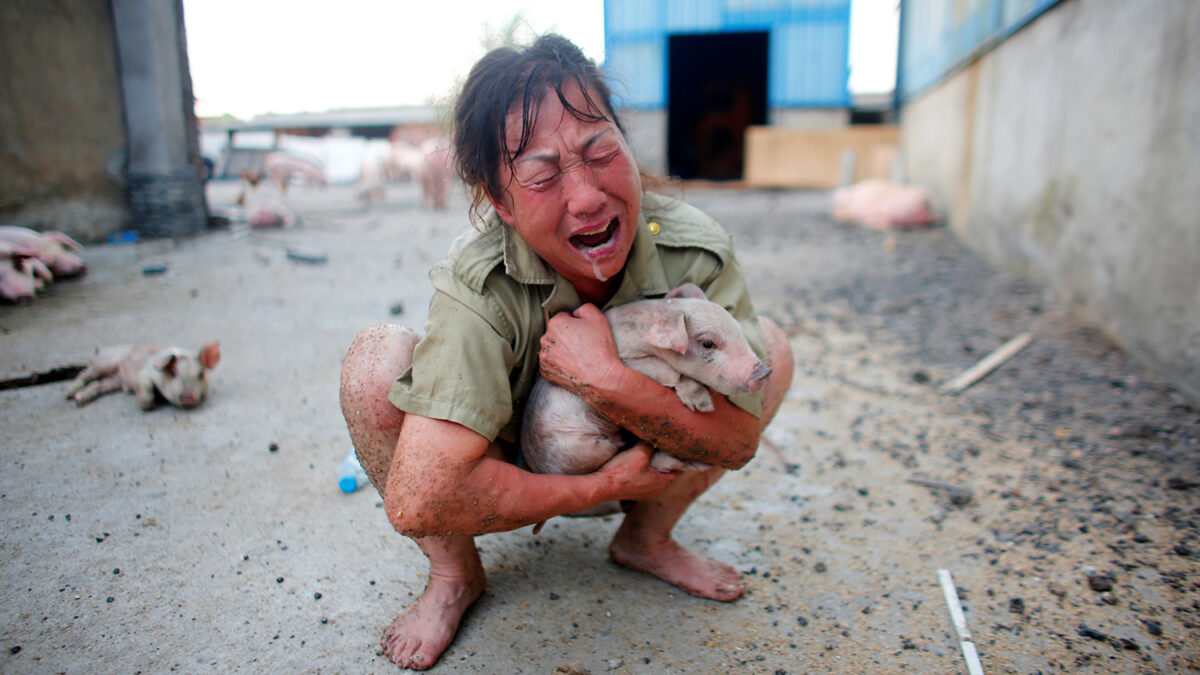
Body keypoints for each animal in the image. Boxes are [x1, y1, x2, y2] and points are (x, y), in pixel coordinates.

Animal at [65, 341, 223, 410]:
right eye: (173, 373)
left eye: (201, 374)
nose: (188, 395)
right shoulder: (144, 372)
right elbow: (144, 384)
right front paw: (148, 405)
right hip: (105, 362)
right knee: (85, 373)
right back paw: (69, 395)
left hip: (114, 380)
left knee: (98, 384)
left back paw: (79, 400)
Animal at [523, 281, 768, 475]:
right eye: (708, 343)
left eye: (739, 331)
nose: (765, 371)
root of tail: (540, 467)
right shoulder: (629, 359)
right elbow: (668, 372)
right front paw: (703, 406)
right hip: (580, 448)